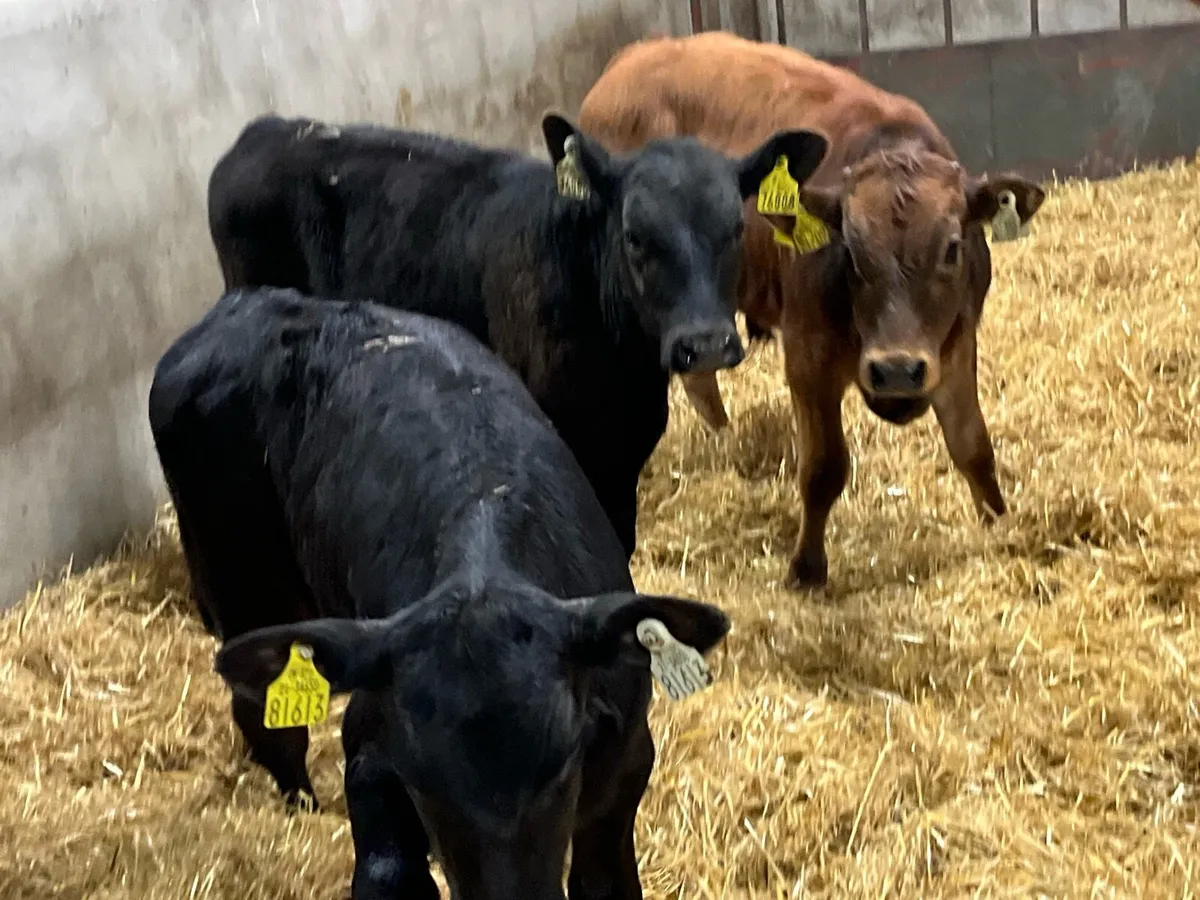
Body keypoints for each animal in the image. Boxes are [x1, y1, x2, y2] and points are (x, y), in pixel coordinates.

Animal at [148, 286, 731, 900]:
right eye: (422, 780)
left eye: (563, 762)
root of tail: (250, 300)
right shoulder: (370, 740)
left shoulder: (626, 764)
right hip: (240, 585)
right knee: (265, 720)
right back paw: (302, 807)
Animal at [578, 31, 1047, 589]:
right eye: (852, 250)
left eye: (952, 248)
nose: (896, 371)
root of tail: (631, 57)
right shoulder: (808, 360)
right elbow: (824, 468)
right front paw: (806, 568)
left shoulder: (955, 346)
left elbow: (973, 447)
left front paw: (1000, 526)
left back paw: (728, 440)